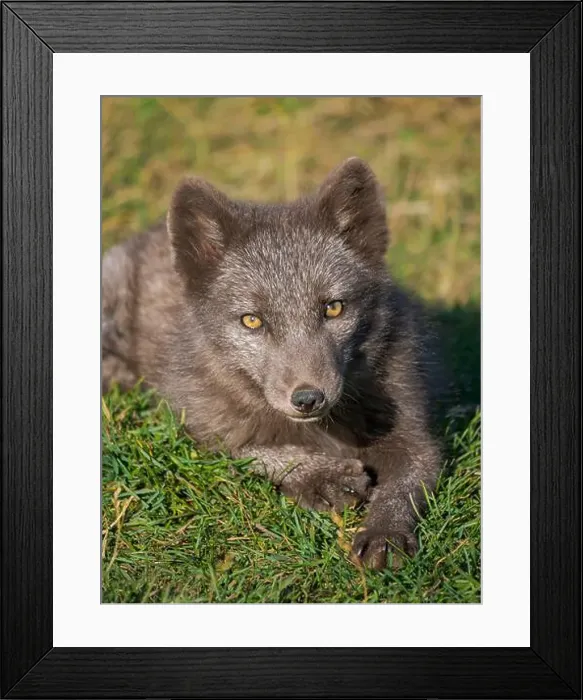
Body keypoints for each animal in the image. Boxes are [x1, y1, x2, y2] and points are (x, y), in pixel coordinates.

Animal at [102, 157, 442, 570]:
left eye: (334, 308)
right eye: (252, 320)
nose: (308, 398)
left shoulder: (415, 434)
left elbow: (405, 481)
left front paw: (385, 533)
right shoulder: (193, 421)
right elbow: (250, 450)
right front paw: (320, 476)